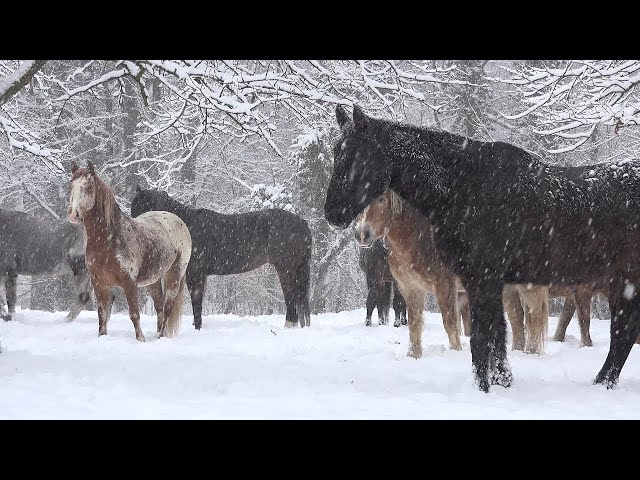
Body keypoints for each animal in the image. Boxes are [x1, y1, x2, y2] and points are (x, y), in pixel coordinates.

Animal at [68, 162, 192, 342]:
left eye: (89, 187)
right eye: (71, 186)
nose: (73, 214)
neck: (108, 240)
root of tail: (177, 220)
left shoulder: (129, 283)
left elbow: (134, 314)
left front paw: (140, 339)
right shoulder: (100, 284)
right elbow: (102, 315)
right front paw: (102, 337)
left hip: (174, 274)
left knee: (168, 306)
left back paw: (160, 337)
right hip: (153, 281)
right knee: (160, 306)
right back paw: (157, 335)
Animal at [129, 188, 312, 330]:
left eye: (141, 205)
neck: (186, 227)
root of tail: (302, 223)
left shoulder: (195, 274)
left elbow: (197, 301)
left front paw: (198, 328)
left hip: (285, 269)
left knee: (291, 296)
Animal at [356, 189, 552, 358]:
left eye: (381, 199)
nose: (361, 234)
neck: (420, 236)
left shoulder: (444, 285)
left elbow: (450, 322)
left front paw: (455, 351)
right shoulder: (410, 288)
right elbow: (414, 323)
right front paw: (414, 355)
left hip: (527, 286)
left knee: (534, 316)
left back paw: (531, 353)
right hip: (509, 290)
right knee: (517, 318)